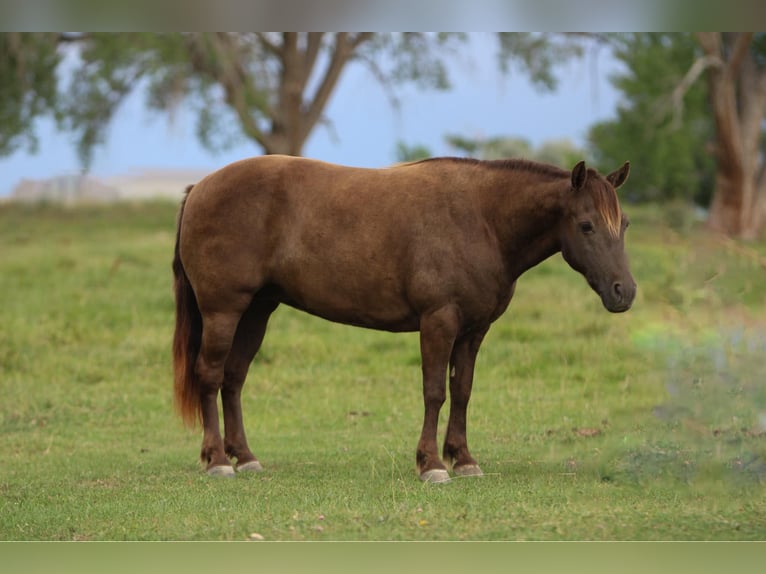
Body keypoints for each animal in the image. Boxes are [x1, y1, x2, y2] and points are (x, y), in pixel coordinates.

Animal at [174, 155, 636, 484]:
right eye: (587, 225)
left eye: (625, 223)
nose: (624, 292)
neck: (481, 218)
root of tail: (200, 187)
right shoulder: (438, 322)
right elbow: (434, 392)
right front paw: (431, 464)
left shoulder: (474, 331)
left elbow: (462, 391)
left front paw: (463, 459)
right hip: (224, 311)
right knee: (210, 375)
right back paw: (218, 460)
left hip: (256, 311)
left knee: (234, 378)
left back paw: (246, 457)